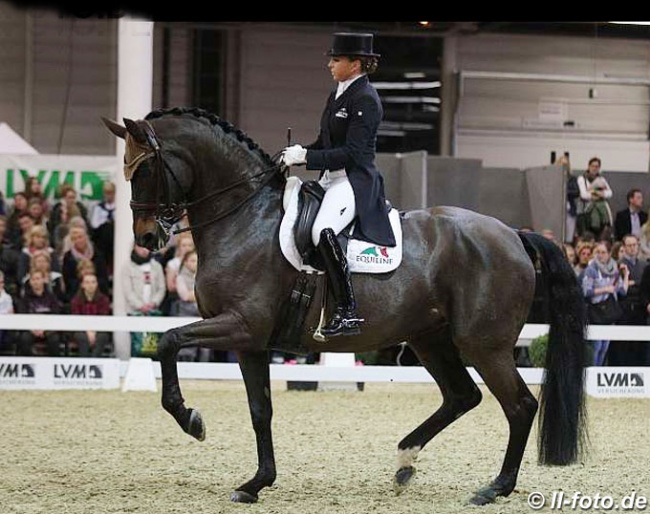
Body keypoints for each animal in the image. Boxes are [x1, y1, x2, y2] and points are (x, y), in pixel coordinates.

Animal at [102, 107, 588, 504]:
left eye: (145, 168)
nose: (147, 238)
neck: (244, 218)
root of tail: (514, 234)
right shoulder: (251, 342)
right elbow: (261, 411)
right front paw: (256, 483)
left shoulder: (239, 324)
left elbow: (168, 341)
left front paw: (191, 419)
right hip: (430, 338)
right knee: (462, 395)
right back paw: (405, 460)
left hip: (483, 345)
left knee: (519, 406)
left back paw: (494, 488)